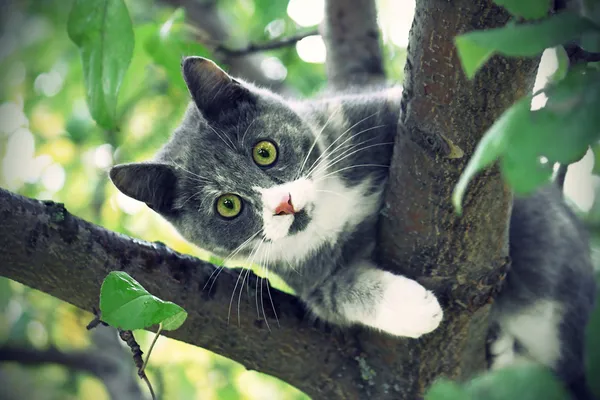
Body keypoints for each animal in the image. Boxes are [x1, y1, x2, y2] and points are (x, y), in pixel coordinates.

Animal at [110, 56, 596, 396]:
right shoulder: (311, 278)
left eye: (264, 151)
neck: (330, 208)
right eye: (228, 206)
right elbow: (341, 293)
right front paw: (417, 308)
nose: (283, 205)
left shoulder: (370, 114)